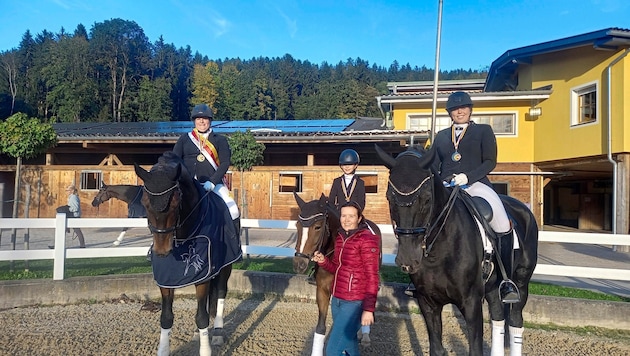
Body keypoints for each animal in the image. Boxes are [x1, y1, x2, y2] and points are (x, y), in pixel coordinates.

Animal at [134, 151, 242, 356]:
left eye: (176, 202)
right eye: (144, 202)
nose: (161, 250)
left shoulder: (203, 275)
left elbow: (202, 316)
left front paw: (205, 350)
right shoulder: (167, 279)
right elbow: (166, 317)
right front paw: (163, 350)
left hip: (225, 266)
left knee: (220, 292)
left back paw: (217, 332)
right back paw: (198, 333)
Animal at [294, 195, 382, 356]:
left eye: (317, 227)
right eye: (297, 225)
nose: (299, 263)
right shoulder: (322, 290)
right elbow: (321, 327)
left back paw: (365, 335)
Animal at [378, 145, 540, 356]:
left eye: (426, 199)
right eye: (389, 197)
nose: (408, 259)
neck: (439, 251)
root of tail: (523, 208)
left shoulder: (471, 303)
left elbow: (475, 349)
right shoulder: (427, 303)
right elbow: (436, 349)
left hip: (521, 283)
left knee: (515, 321)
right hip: (493, 287)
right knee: (497, 317)